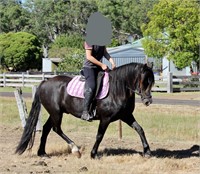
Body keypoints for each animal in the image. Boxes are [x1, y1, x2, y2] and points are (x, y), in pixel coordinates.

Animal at [15, 62, 155, 159]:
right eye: (144, 81)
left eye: (152, 82)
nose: (148, 101)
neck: (117, 89)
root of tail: (45, 82)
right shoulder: (106, 119)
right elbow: (99, 135)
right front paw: (93, 154)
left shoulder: (126, 116)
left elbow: (140, 129)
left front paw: (147, 152)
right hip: (56, 113)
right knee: (56, 129)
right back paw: (75, 149)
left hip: (55, 113)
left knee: (46, 129)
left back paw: (42, 153)